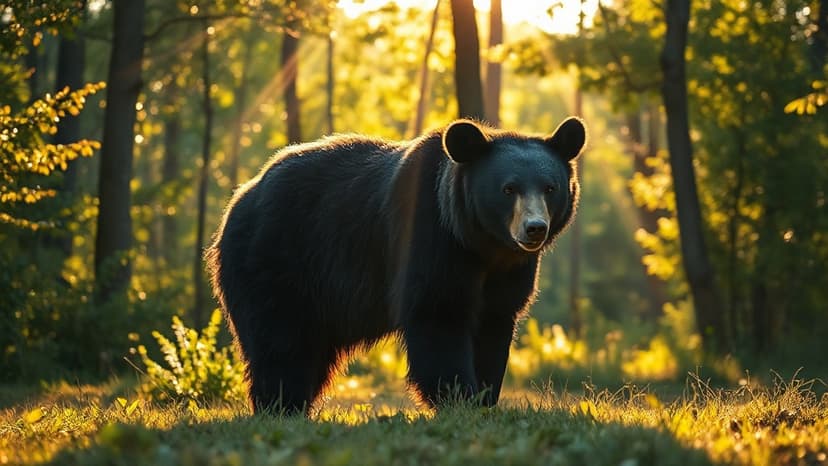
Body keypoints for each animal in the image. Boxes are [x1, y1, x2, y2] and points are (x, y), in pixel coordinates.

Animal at [204, 117, 586, 414]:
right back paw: (282, 405)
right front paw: (458, 398)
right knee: (280, 340)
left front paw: (484, 396)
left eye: (550, 188)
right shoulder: (429, 238)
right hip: (276, 260)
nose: (534, 228)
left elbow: (494, 325)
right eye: (509, 189)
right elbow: (438, 314)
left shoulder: (508, 273)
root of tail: (240, 198)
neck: (480, 244)